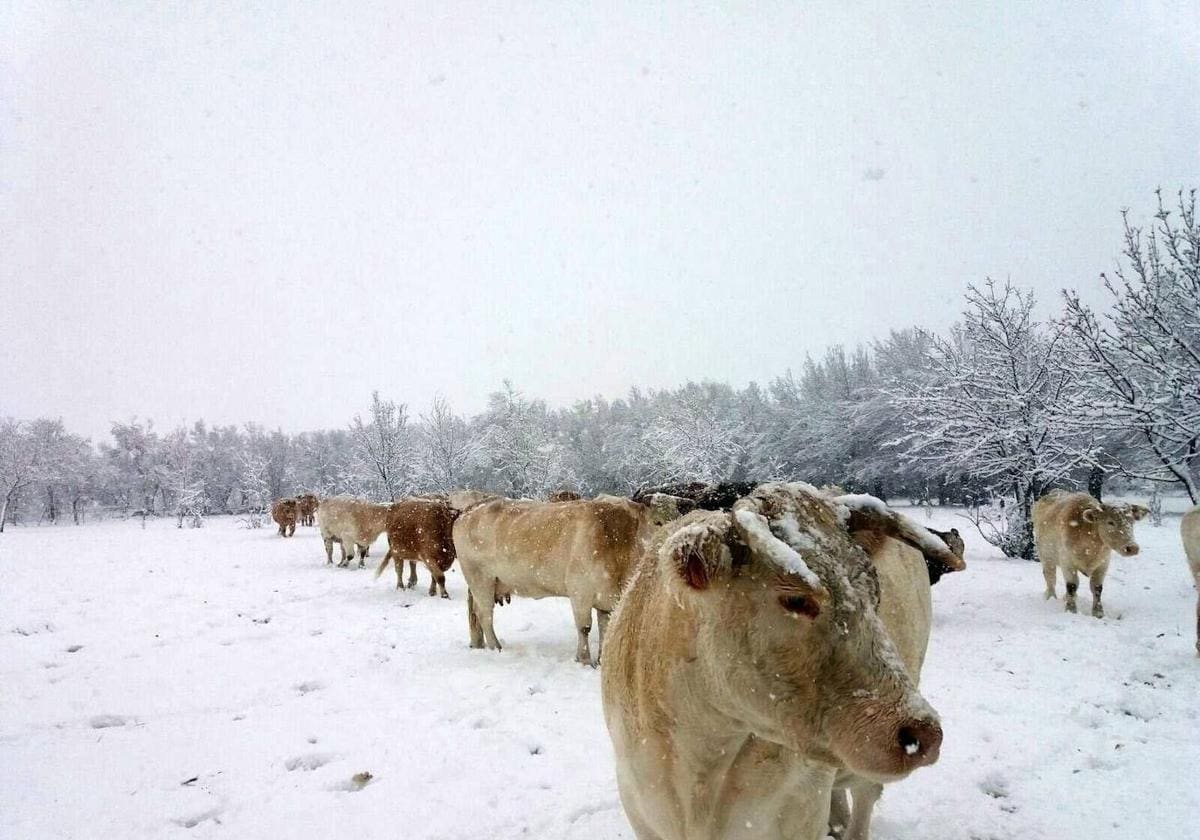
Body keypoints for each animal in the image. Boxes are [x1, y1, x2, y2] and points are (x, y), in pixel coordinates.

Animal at [453, 492, 691, 662]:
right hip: (480, 579)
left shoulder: (607, 597)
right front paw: (584, 660)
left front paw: (602, 660)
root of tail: (471, 509)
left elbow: (605, 627)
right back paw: (496, 647)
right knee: (484, 614)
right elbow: (584, 628)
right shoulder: (581, 591)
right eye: (657, 522)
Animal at [1036, 489, 1147, 619]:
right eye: (1110, 522)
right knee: (1050, 577)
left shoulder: (1103, 564)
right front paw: (1071, 610)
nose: (1132, 548)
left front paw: (1098, 613)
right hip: (1046, 557)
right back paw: (1050, 597)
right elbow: (1071, 585)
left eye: (1132, 522)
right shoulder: (1067, 562)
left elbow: (1097, 588)